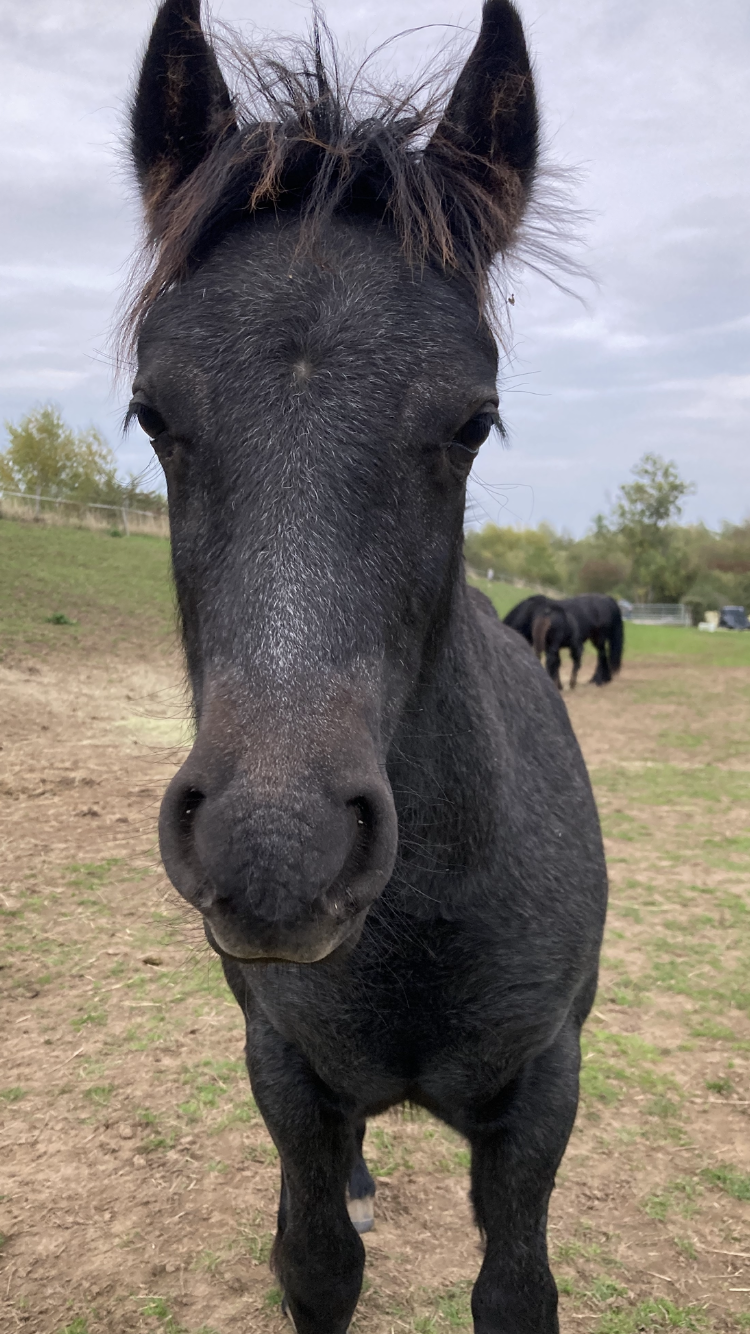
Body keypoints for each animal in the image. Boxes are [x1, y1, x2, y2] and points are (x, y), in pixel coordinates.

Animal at [125, 3, 607, 1330]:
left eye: (472, 420)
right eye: (153, 413)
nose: (275, 848)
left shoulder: (543, 1092)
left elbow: (515, 1285)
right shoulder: (286, 1071)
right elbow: (315, 1262)